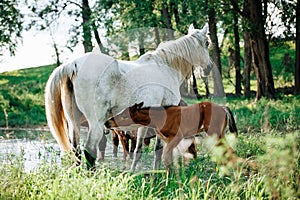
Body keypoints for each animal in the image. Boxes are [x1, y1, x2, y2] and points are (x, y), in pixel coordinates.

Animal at [45, 23, 213, 170]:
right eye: (206, 43)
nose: (210, 67)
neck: (166, 66)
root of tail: (73, 64)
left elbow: (139, 149)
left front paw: (134, 171)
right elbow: (157, 150)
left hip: (74, 122)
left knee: (76, 150)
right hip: (96, 123)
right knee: (89, 151)